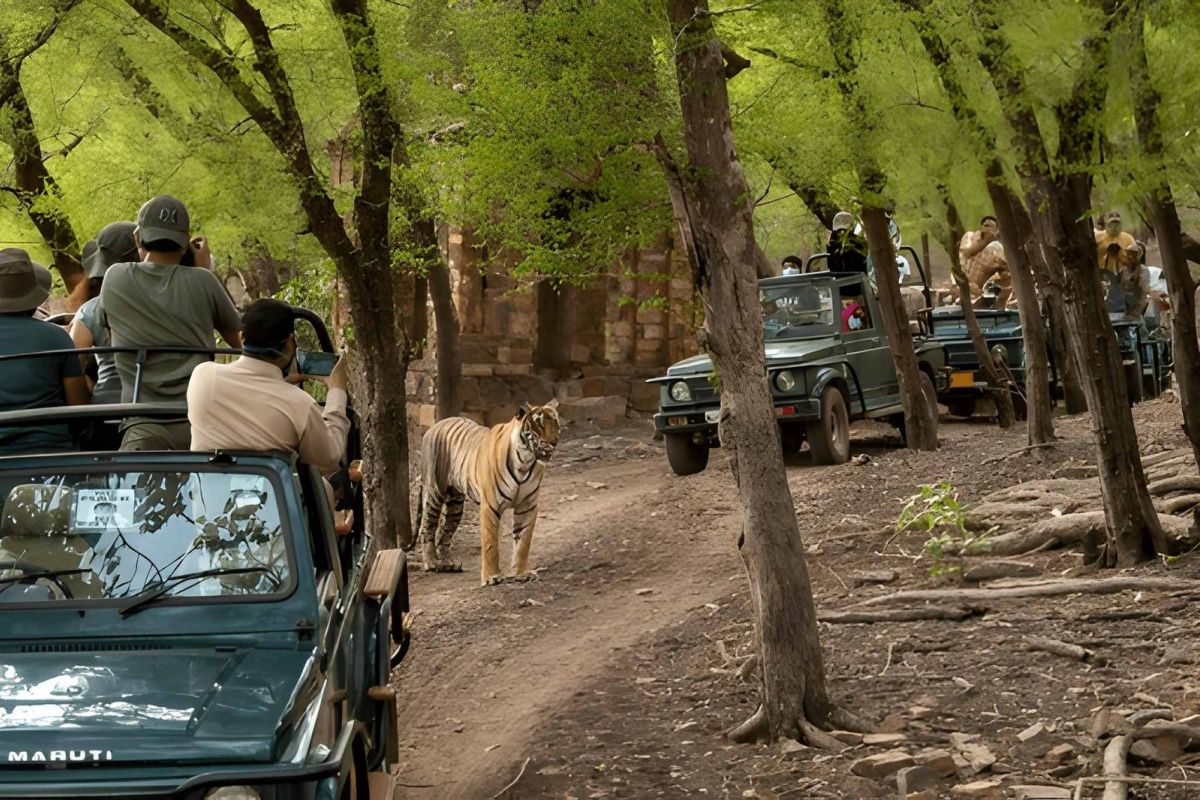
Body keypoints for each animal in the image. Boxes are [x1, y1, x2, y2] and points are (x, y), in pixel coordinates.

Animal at [415, 400, 560, 586]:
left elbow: (523, 542)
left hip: (454, 503)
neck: (525, 461)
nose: (554, 443)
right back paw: (432, 562)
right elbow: (490, 544)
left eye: (555, 423)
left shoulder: (527, 506)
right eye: (539, 424)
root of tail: (435, 426)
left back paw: (448, 563)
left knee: (444, 532)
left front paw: (521, 573)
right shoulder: (490, 506)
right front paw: (491, 577)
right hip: (434, 493)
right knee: (427, 527)